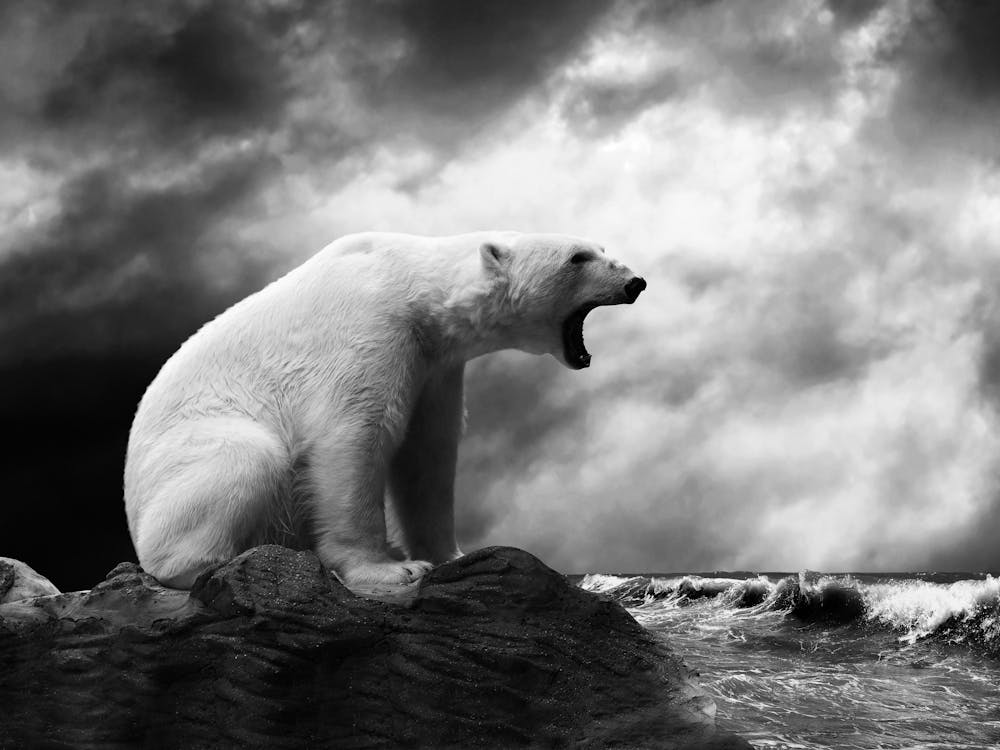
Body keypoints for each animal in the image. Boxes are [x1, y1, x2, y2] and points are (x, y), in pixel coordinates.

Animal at [124, 232, 645, 589]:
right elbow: (352, 437)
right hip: (189, 446)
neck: (412, 285)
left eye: (600, 246)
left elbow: (428, 455)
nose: (635, 281)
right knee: (246, 457)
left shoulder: (434, 365)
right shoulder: (369, 330)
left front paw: (452, 554)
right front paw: (390, 569)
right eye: (577, 257)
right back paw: (210, 563)